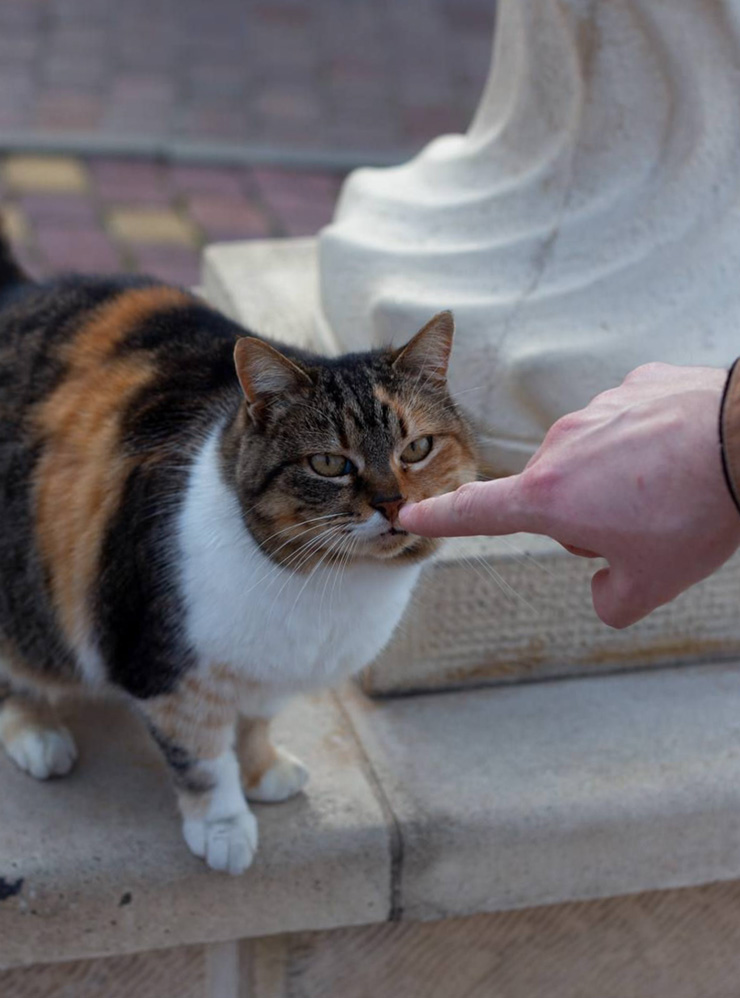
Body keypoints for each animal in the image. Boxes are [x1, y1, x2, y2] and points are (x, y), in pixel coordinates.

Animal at [0, 225, 480, 876]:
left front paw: (263, 770)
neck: (330, 589)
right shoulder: (164, 661)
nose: (390, 502)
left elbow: (254, 722)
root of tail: (16, 288)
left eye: (418, 448)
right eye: (328, 463)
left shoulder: (267, 673)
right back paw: (38, 733)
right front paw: (224, 827)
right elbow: (201, 754)